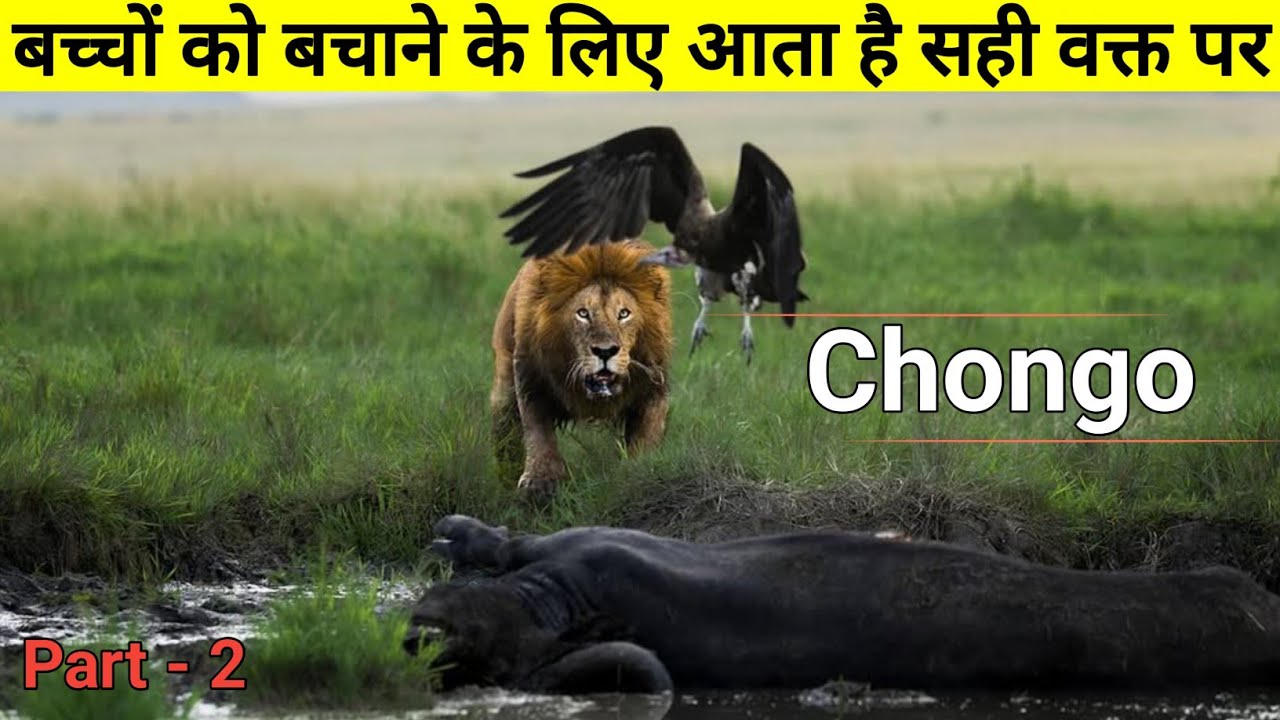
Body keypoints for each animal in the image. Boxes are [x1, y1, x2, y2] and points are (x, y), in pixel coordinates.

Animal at [490, 240, 674, 503]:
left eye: (624, 313)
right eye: (583, 313)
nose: (605, 351)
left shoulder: (653, 384)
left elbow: (648, 430)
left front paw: (641, 468)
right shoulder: (531, 378)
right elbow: (537, 431)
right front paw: (541, 482)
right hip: (504, 386)